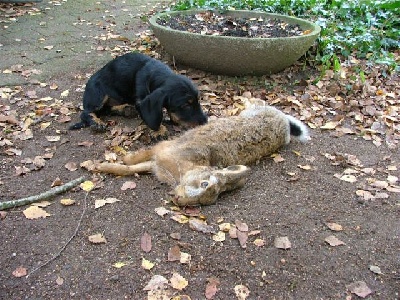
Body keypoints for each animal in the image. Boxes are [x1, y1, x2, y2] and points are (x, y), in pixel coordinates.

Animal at [69, 52, 208, 131]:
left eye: (198, 100)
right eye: (185, 105)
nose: (205, 122)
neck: (156, 73)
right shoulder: (141, 101)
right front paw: (160, 131)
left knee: (106, 109)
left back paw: (125, 109)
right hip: (98, 94)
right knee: (87, 112)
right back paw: (97, 123)